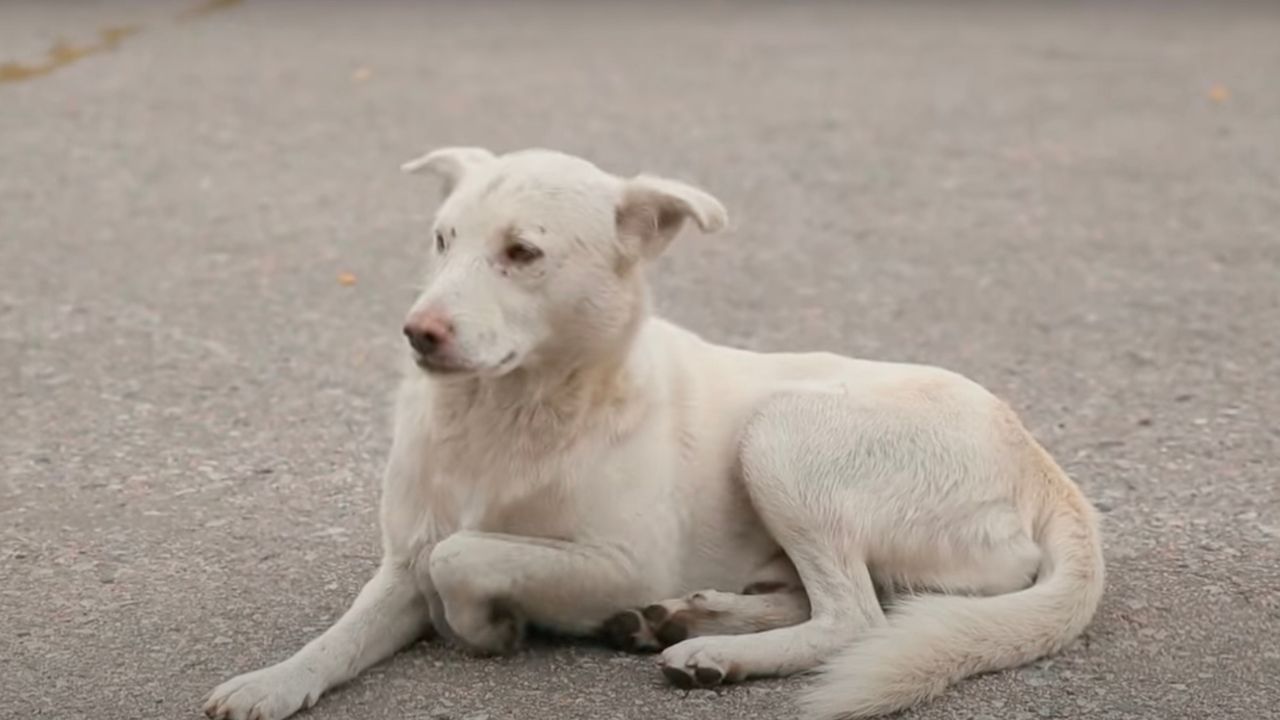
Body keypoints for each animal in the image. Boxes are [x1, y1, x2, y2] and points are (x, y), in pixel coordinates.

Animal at [204, 146, 1105, 717]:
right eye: (442, 239)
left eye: (521, 252)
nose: (416, 333)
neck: (506, 417)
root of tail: (1045, 467)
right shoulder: (401, 561)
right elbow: (343, 634)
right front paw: (272, 683)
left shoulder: (620, 562)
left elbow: (461, 557)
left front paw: (491, 629)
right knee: (826, 598)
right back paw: (685, 623)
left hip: (780, 436)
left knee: (856, 618)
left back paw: (710, 651)